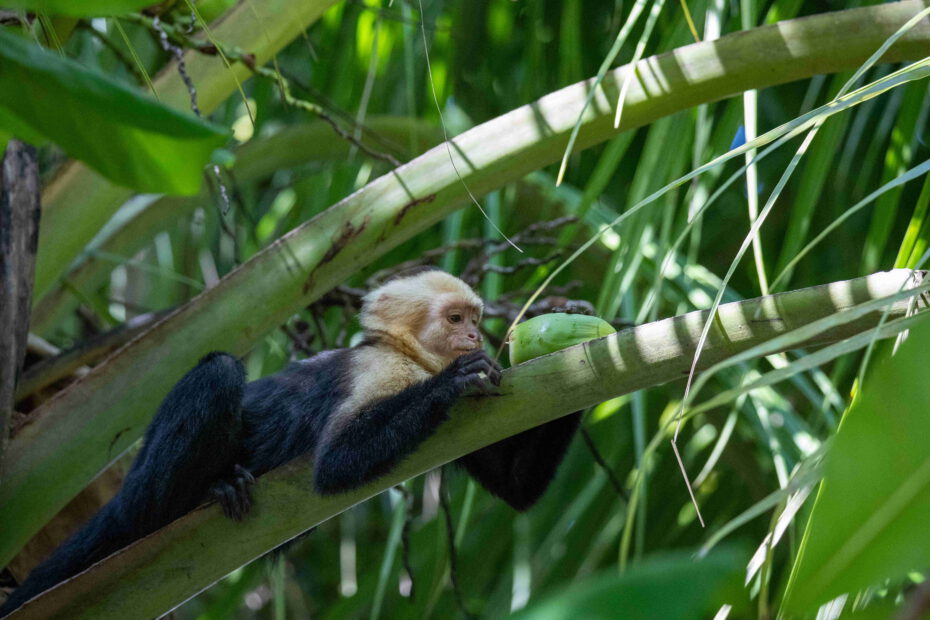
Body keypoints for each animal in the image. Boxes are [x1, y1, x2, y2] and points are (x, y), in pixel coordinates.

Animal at [0, 268, 576, 616]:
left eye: (475, 319)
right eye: (456, 319)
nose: (476, 336)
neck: (410, 357)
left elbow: (516, 487)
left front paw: (583, 334)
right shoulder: (379, 369)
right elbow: (336, 465)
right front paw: (457, 378)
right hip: (143, 488)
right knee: (218, 374)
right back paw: (199, 492)